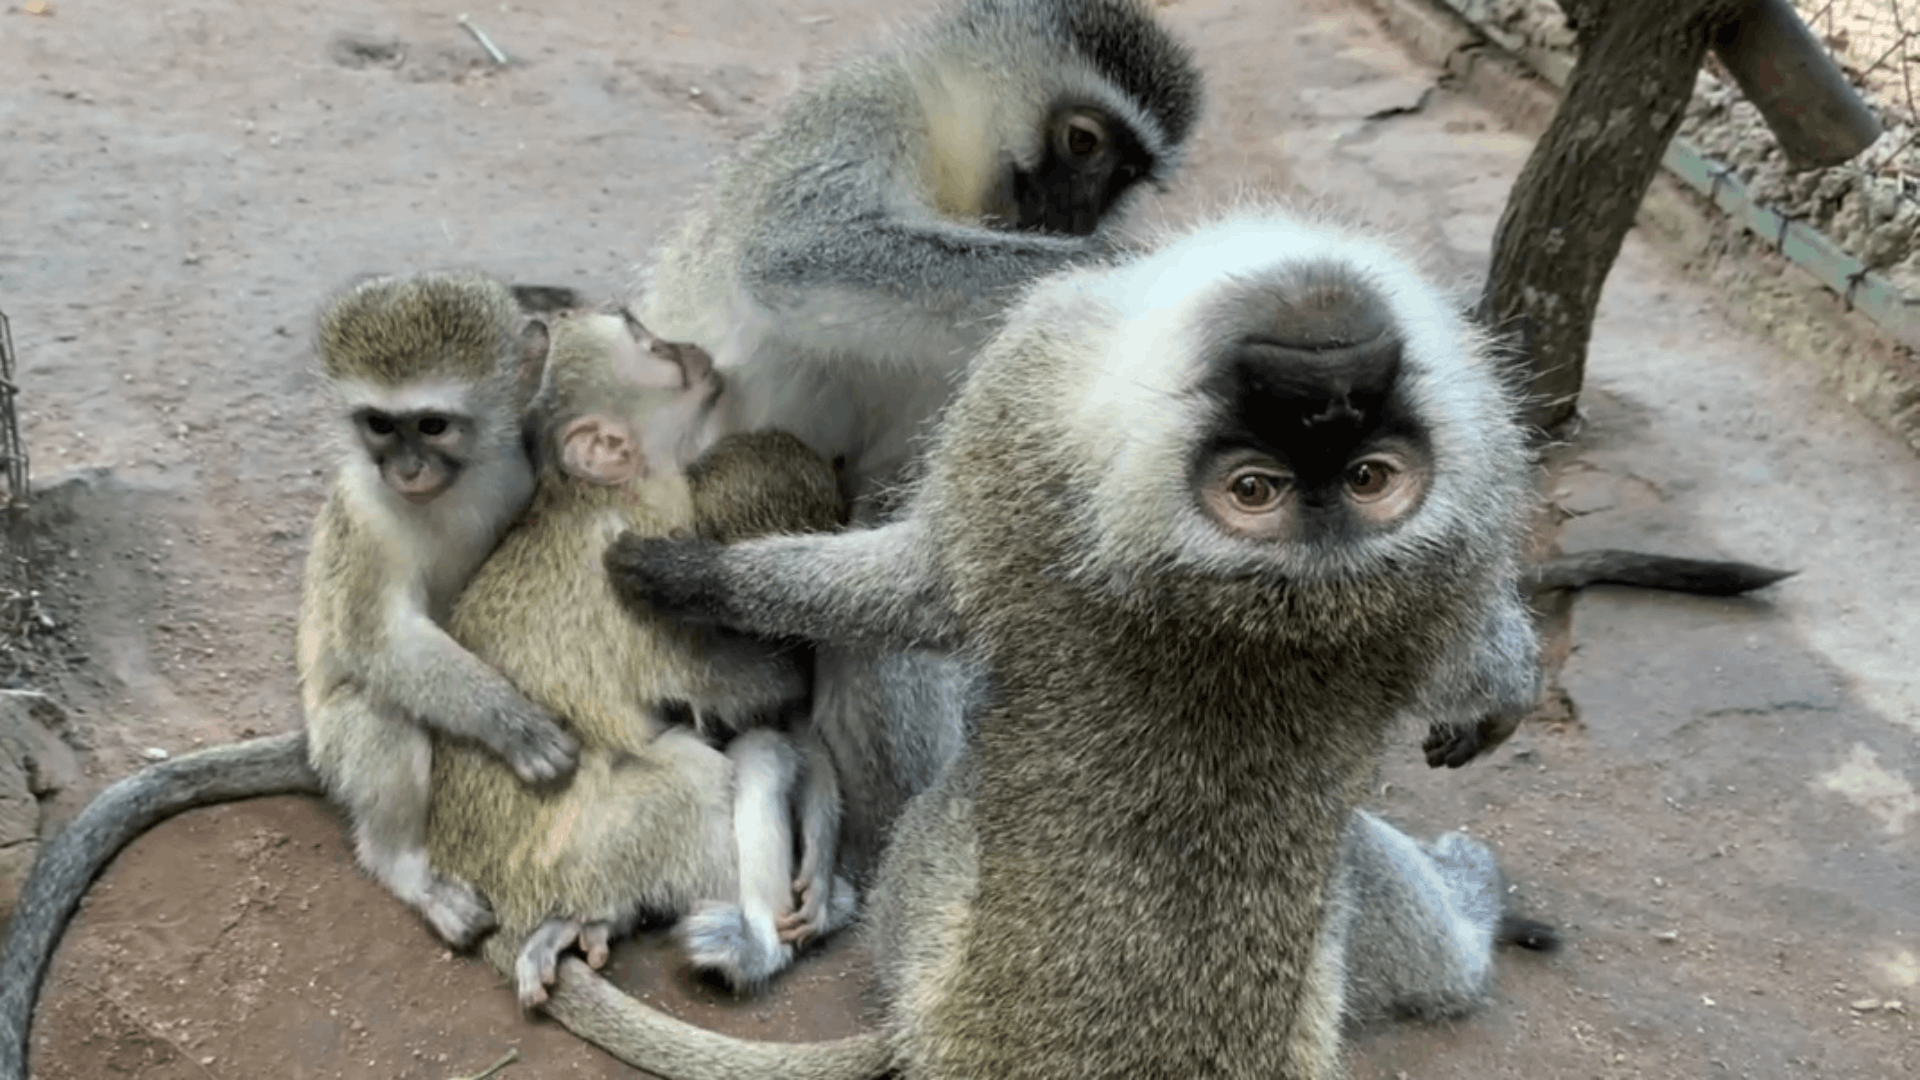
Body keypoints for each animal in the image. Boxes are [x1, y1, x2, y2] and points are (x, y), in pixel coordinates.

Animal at [294, 271, 583, 950]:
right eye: (378, 424)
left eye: (431, 426)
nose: (405, 469)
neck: (451, 494)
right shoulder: (367, 515)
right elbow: (380, 640)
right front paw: (515, 726)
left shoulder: (515, 471)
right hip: (334, 747)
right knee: (381, 711)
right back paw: (406, 871)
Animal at [424, 307, 857, 1008]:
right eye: (652, 348)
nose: (691, 347)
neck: (587, 494)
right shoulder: (656, 520)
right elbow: (724, 681)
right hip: (579, 858)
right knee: (704, 774)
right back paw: (757, 945)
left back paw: (586, 925)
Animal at [570, 206, 1560, 1078]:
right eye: (1257, 489)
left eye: (1367, 478)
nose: (1326, 360)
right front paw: (1504, 681)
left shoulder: (1034, 368)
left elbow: (926, 591)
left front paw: (701, 579)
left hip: (921, 893)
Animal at [632, 0, 1205, 920]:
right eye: (1084, 143)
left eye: (1125, 174)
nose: (1083, 220)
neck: (954, 182)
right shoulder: (867, 110)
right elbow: (799, 253)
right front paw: (1131, 265)